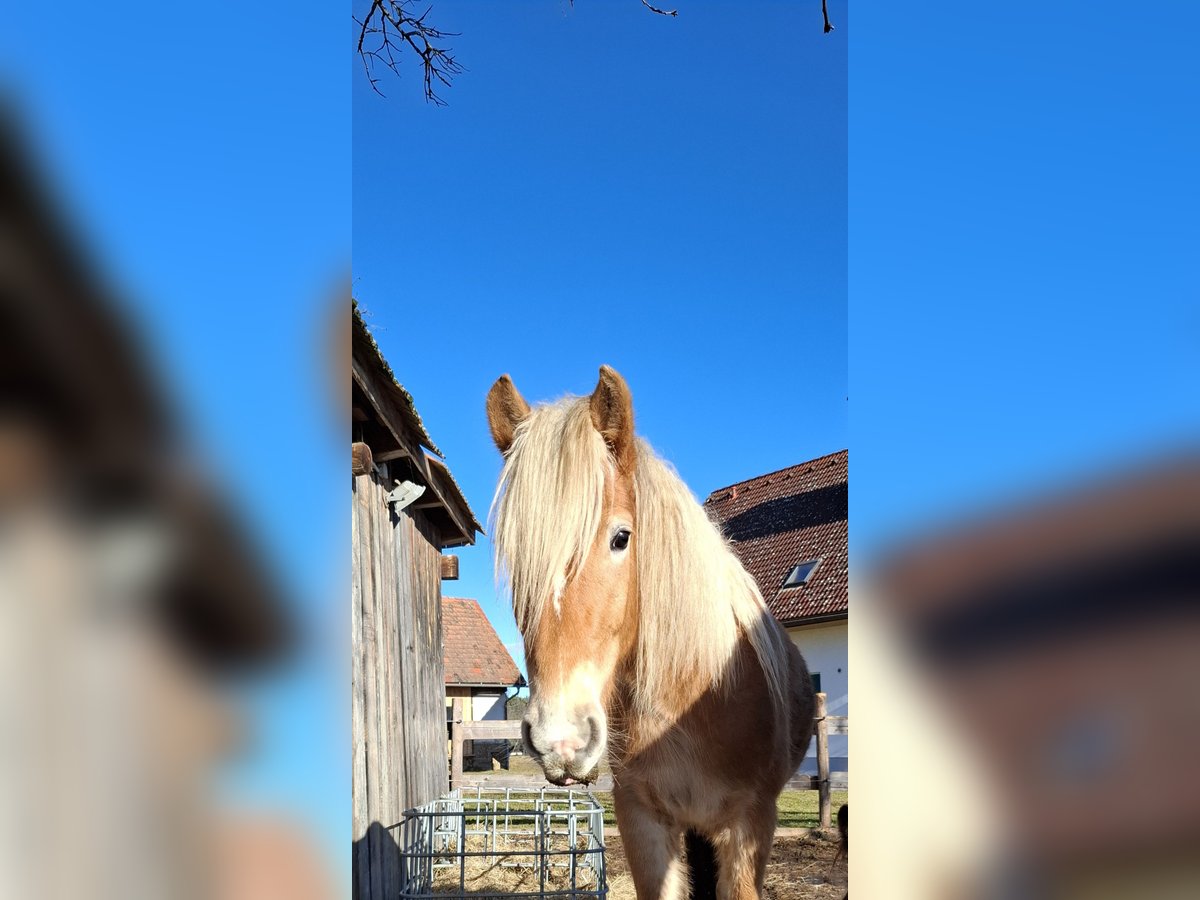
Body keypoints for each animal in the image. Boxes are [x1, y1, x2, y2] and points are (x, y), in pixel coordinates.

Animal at [487, 367, 816, 900]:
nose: (561, 740)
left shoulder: (749, 829)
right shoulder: (642, 820)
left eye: (621, 537)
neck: (694, 699)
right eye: (517, 558)